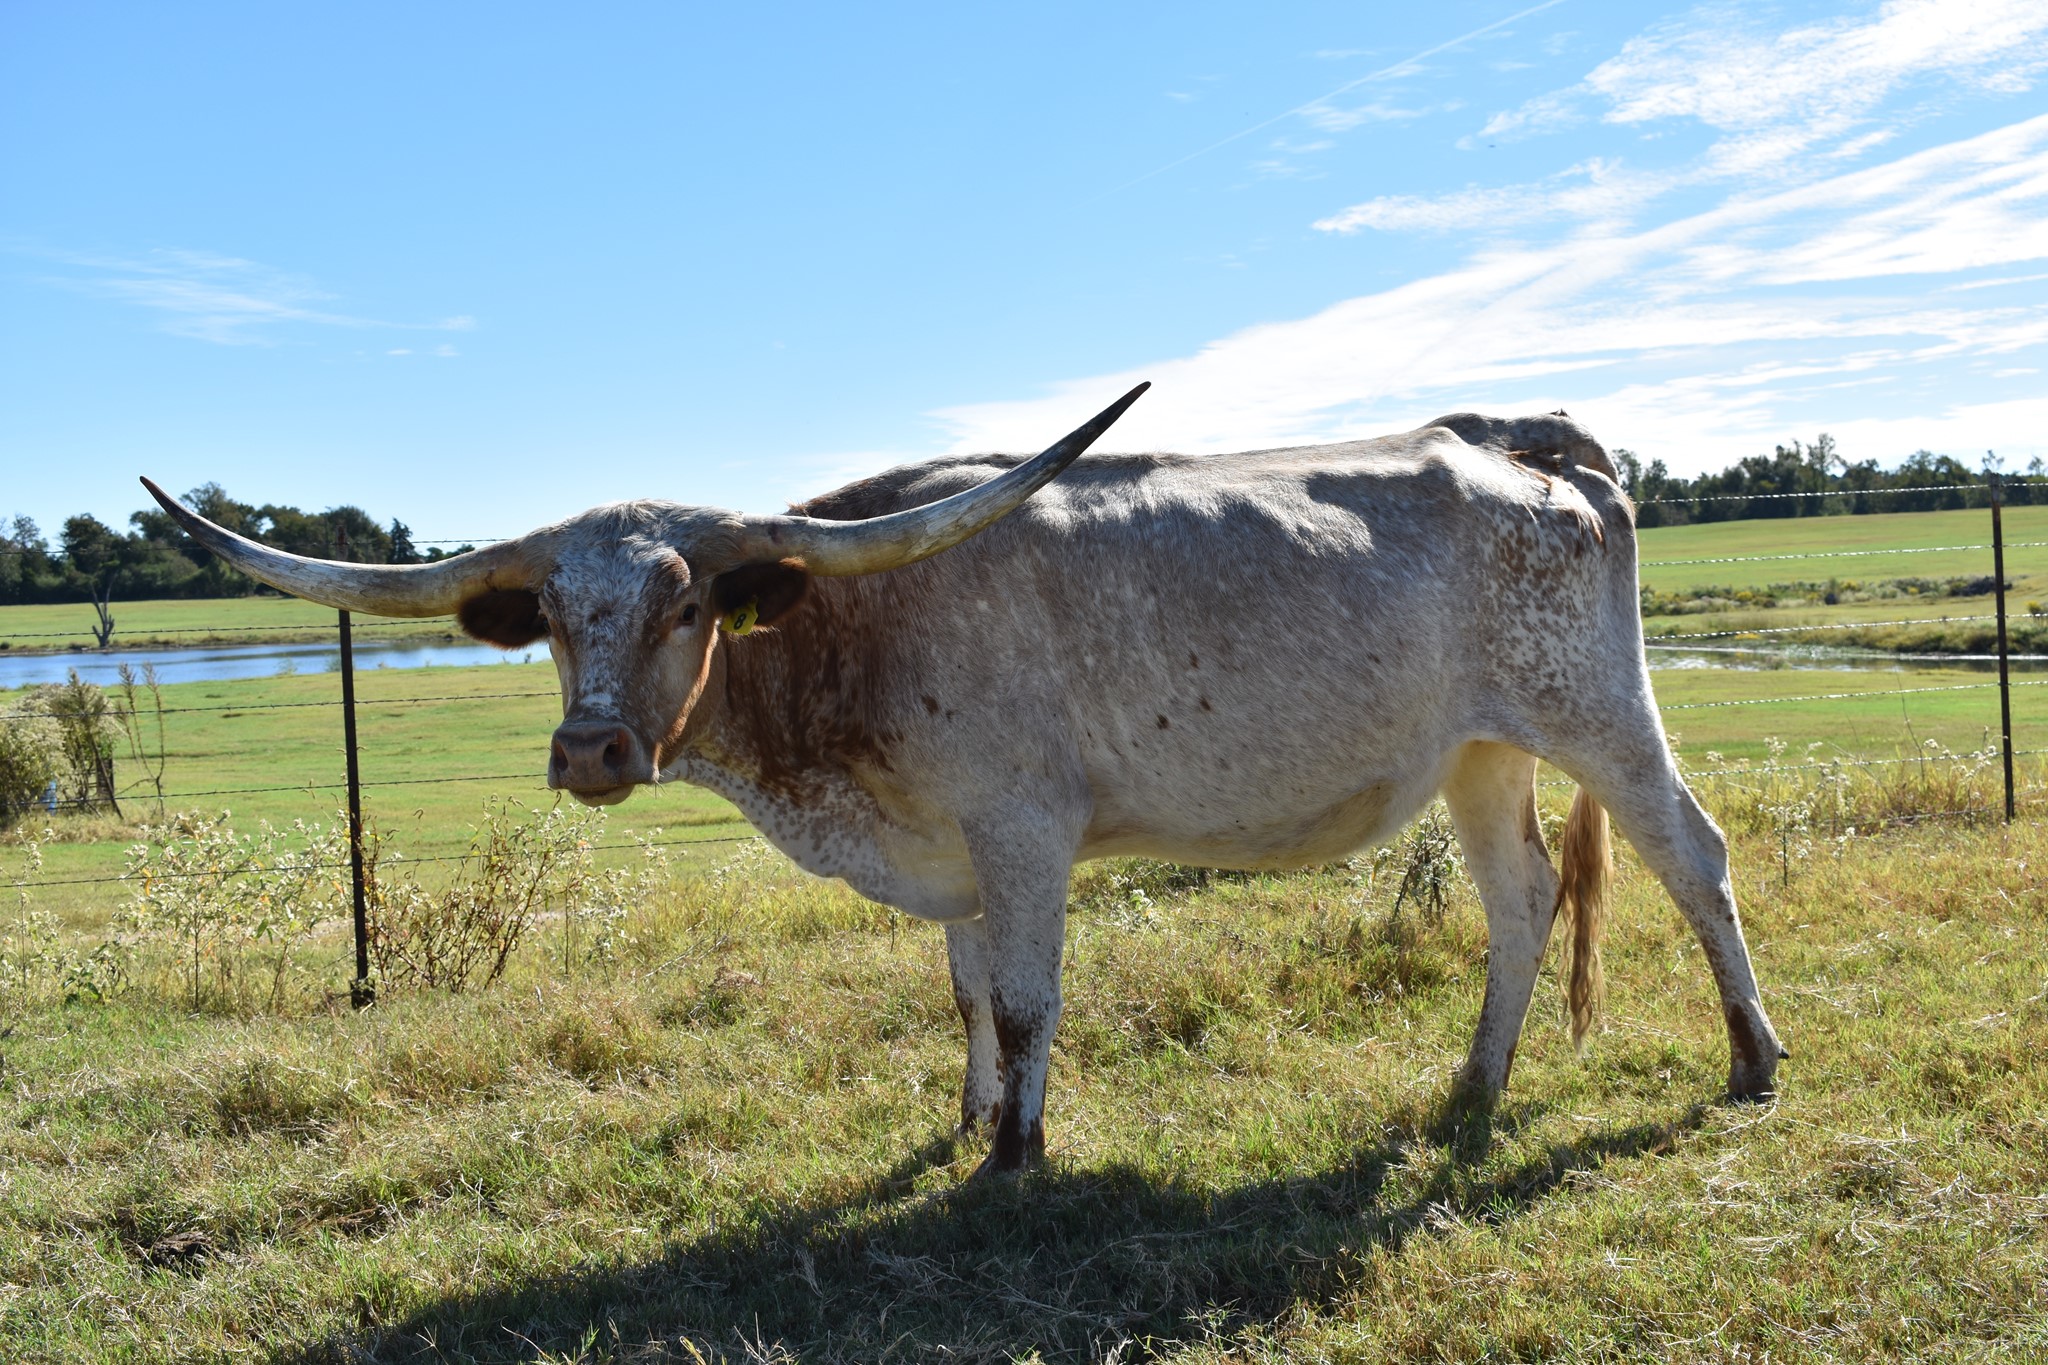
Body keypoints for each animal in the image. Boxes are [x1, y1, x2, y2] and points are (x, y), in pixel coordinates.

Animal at [143, 385, 1785, 1175]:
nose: (590, 749)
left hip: (1597, 715)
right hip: (1476, 750)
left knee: (1694, 858)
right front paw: (965, 1115)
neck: (846, 631)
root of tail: (1520, 444)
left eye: (683, 601)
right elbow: (962, 993)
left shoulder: (1020, 828)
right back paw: (1475, 1083)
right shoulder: (947, 849)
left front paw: (1016, 1151)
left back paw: (1753, 1059)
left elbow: (1025, 995)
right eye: (548, 610)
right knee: (1517, 901)